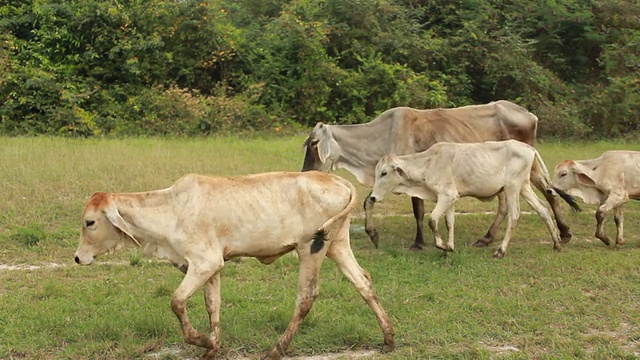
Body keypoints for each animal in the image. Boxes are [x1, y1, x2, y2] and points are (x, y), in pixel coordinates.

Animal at [74, 172, 396, 360]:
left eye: (90, 222)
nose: (78, 257)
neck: (172, 209)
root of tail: (338, 180)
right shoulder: (211, 268)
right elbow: (212, 305)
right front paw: (212, 347)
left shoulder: (204, 262)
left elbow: (177, 302)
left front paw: (200, 340)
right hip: (337, 245)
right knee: (363, 282)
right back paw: (388, 339)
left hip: (311, 248)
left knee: (306, 297)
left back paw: (277, 349)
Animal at [364, 141, 576, 258]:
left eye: (384, 173)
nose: (373, 196)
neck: (428, 163)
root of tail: (527, 147)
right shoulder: (450, 198)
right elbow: (449, 222)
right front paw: (448, 247)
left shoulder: (446, 196)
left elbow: (432, 220)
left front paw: (442, 245)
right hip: (523, 186)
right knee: (542, 209)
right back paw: (557, 243)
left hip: (512, 188)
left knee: (514, 215)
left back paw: (500, 251)